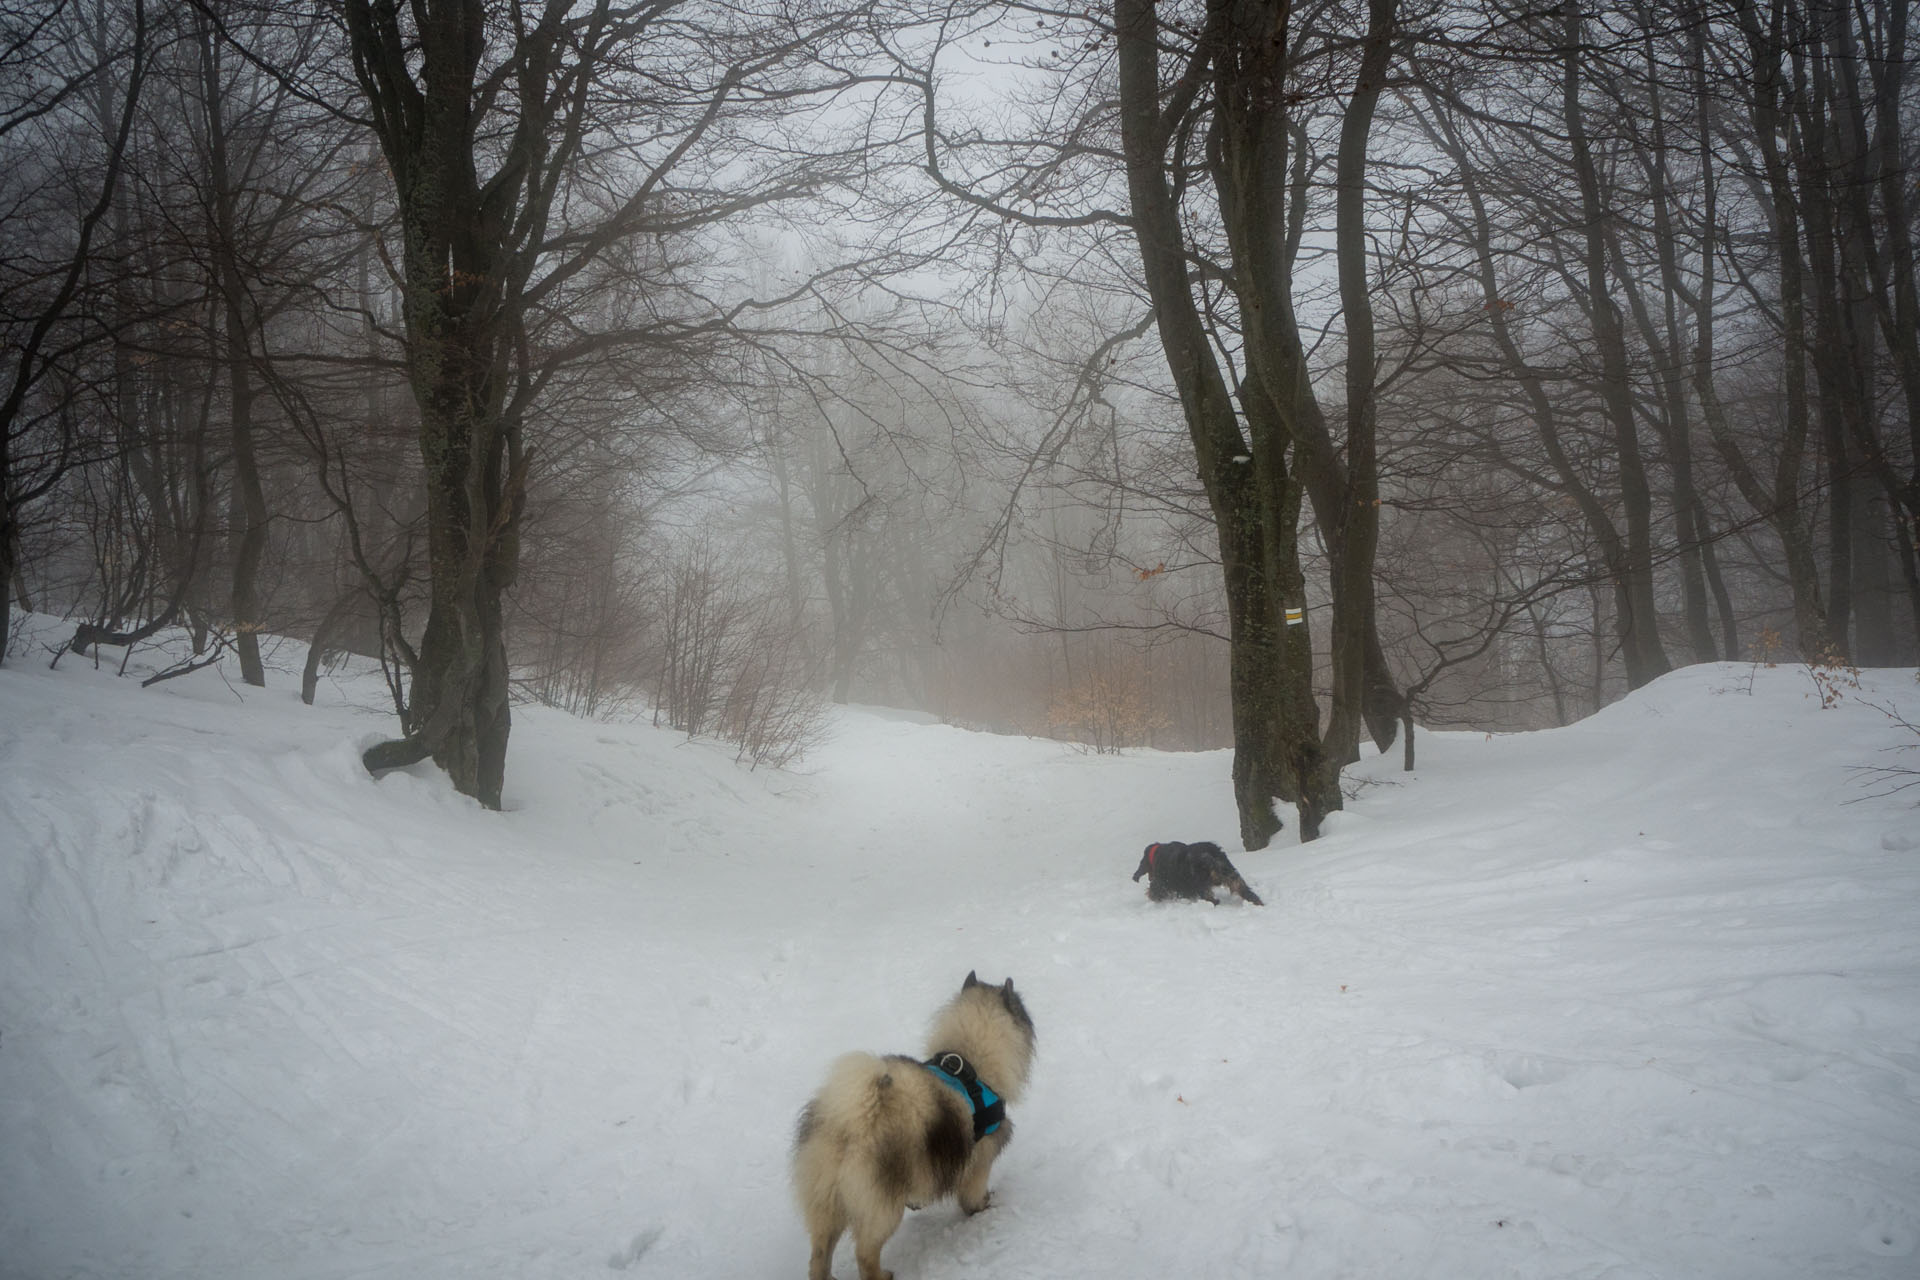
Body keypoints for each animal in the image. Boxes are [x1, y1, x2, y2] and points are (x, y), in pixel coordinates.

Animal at [791, 971, 1044, 1280]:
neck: (970, 1063)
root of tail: (852, 1123)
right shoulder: (980, 1160)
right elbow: (972, 1195)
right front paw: (983, 1206)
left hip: (825, 1204)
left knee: (819, 1255)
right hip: (883, 1208)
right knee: (865, 1253)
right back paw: (882, 1275)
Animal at [1128, 844, 1267, 905]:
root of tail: (1211, 855)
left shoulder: (1161, 883)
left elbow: (1154, 891)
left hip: (1200, 884)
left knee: (1211, 899)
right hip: (1232, 876)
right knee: (1245, 890)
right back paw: (1257, 902)